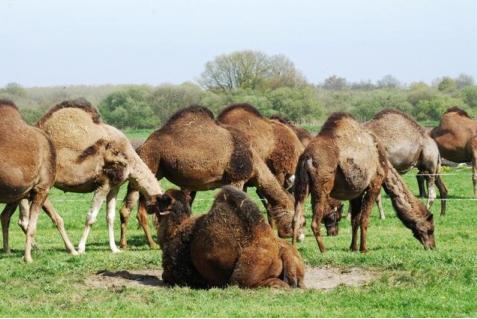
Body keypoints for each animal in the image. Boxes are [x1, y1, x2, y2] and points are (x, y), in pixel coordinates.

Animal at [0, 99, 76, 262]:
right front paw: (28, 258)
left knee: (4, 216)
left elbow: (57, 218)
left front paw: (73, 250)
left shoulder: (34, 189)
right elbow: (32, 226)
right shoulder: (42, 188)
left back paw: (8, 251)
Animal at [20, 99, 164, 254]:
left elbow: (110, 217)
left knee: (23, 218)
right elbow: (91, 217)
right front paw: (81, 248)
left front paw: (114, 248)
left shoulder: (114, 187)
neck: (129, 160)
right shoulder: (103, 184)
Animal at [118, 106, 298, 249]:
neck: (255, 162)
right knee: (136, 206)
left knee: (132, 206)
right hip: (151, 161)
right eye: (293, 215)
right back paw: (147, 244)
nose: (297, 235)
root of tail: (142, 145)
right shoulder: (237, 178)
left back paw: (128, 244)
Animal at [153, 186, 304, 292]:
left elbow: (167, 277)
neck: (175, 229)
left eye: (163, 199)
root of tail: (281, 252)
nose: (155, 199)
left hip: (242, 276)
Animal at [290, 114, 436, 254]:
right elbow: (364, 219)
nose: (432, 246)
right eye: (430, 229)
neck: (382, 160)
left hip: (301, 186)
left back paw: (293, 247)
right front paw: (364, 249)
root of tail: (307, 158)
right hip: (321, 187)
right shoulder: (374, 185)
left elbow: (355, 220)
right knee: (315, 221)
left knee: (296, 217)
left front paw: (353, 247)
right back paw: (323, 250)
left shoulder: (356, 192)